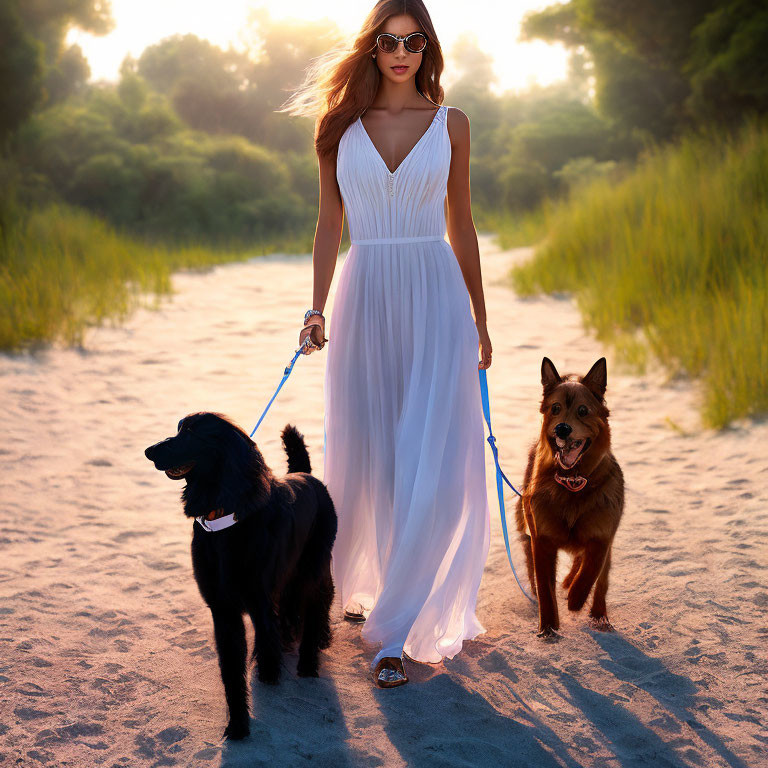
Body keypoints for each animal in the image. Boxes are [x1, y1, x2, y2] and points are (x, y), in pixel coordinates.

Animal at [144, 412, 336, 740]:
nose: (148, 451)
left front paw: (269, 675)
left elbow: (265, 646)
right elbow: (231, 671)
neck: (222, 519)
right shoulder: (223, 610)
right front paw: (237, 725)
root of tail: (304, 474)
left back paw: (309, 659)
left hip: (311, 568)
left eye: (192, 432)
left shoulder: (259, 602)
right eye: (179, 428)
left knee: (316, 603)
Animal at [516, 358, 624, 636]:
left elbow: (590, 571)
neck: (572, 482)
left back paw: (599, 615)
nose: (562, 428)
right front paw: (548, 629)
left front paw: (575, 599)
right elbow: (545, 589)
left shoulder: (602, 537)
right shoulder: (541, 540)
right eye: (556, 408)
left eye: (583, 411)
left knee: (599, 580)